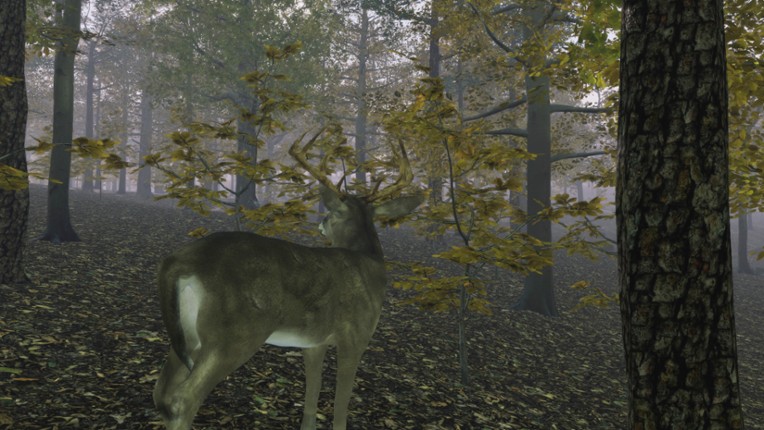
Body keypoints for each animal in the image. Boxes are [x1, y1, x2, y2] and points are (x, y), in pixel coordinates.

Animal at [152, 132, 423, 430]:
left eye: (331, 214)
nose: (321, 223)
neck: (370, 263)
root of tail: (178, 261)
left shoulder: (314, 342)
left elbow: (312, 395)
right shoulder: (356, 335)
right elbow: (341, 406)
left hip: (188, 333)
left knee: (161, 393)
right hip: (233, 333)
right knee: (183, 398)